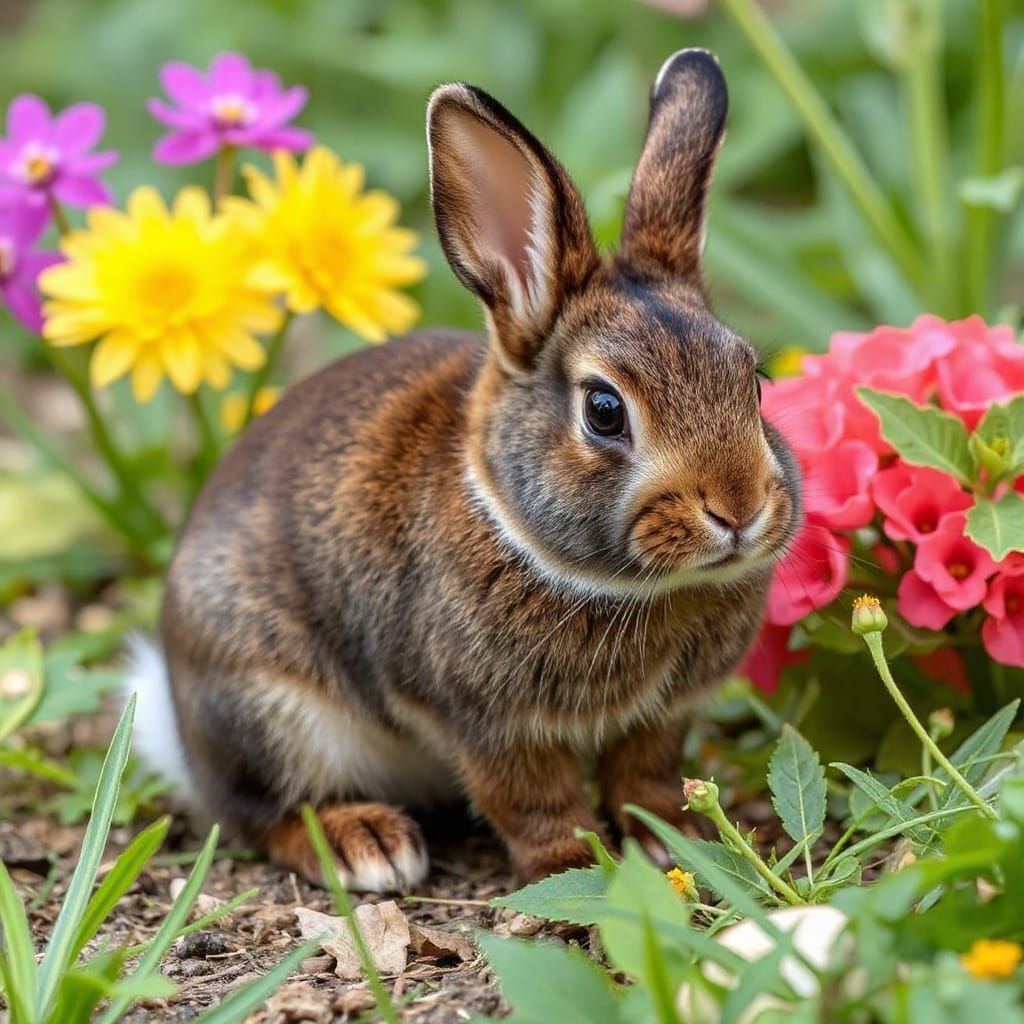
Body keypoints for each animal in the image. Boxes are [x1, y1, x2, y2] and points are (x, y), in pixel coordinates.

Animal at [129, 48, 801, 891]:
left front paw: (672, 839)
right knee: (264, 813)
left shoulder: (661, 719)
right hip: (266, 708)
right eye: (604, 409)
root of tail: (180, 726)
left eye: (754, 381)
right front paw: (580, 865)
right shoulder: (487, 725)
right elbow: (532, 800)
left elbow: (644, 775)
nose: (739, 511)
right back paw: (368, 845)